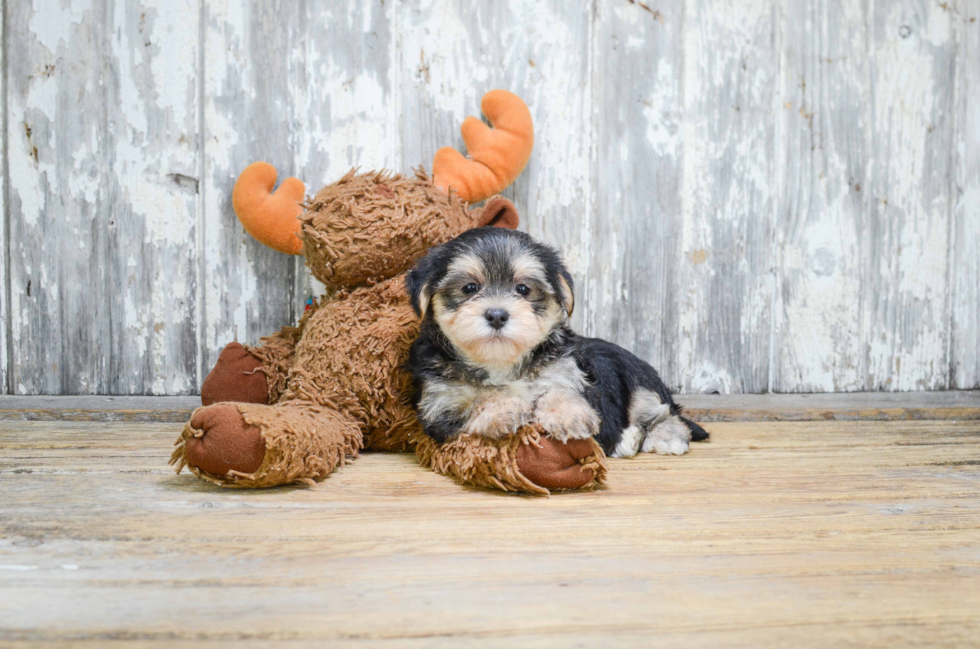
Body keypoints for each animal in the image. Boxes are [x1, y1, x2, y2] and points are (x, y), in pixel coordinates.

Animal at [402, 228, 708, 456]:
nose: (497, 315)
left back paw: (664, 436)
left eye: (523, 289)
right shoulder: (439, 405)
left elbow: (559, 390)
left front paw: (567, 413)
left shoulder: (568, 372)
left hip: (637, 378)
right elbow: (478, 399)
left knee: (662, 412)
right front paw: (504, 407)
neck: (501, 363)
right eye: (469, 288)